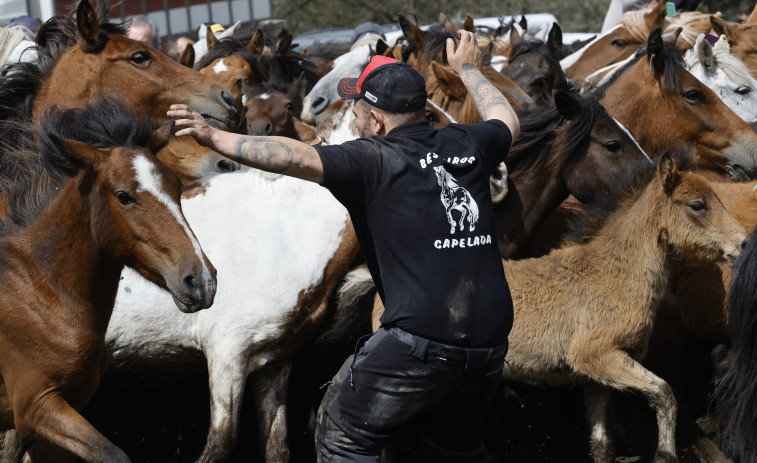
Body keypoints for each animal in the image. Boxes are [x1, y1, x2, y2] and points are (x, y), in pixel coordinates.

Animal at [0, 103, 216, 462]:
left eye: (176, 187)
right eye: (123, 196)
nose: (201, 280)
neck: (41, 290)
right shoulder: (36, 405)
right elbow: (113, 454)